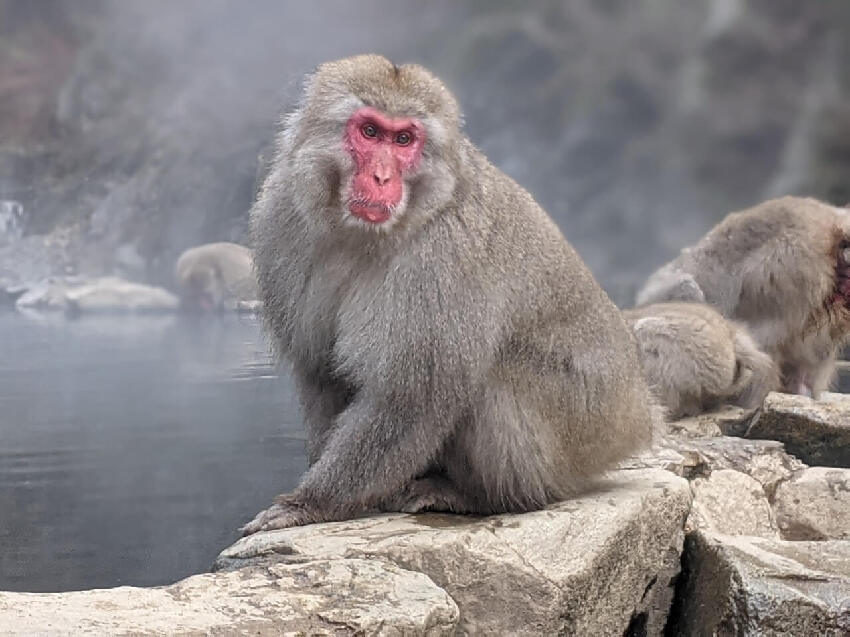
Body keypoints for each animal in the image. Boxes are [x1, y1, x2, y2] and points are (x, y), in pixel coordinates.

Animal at [242, 54, 652, 536]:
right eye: (370, 132)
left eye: (404, 139)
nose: (381, 176)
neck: (364, 234)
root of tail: (637, 415)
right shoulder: (281, 218)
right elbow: (322, 373)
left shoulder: (443, 254)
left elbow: (413, 398)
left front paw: (311, 503)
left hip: (580, 428)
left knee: (488, 379)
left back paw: (486, 498)